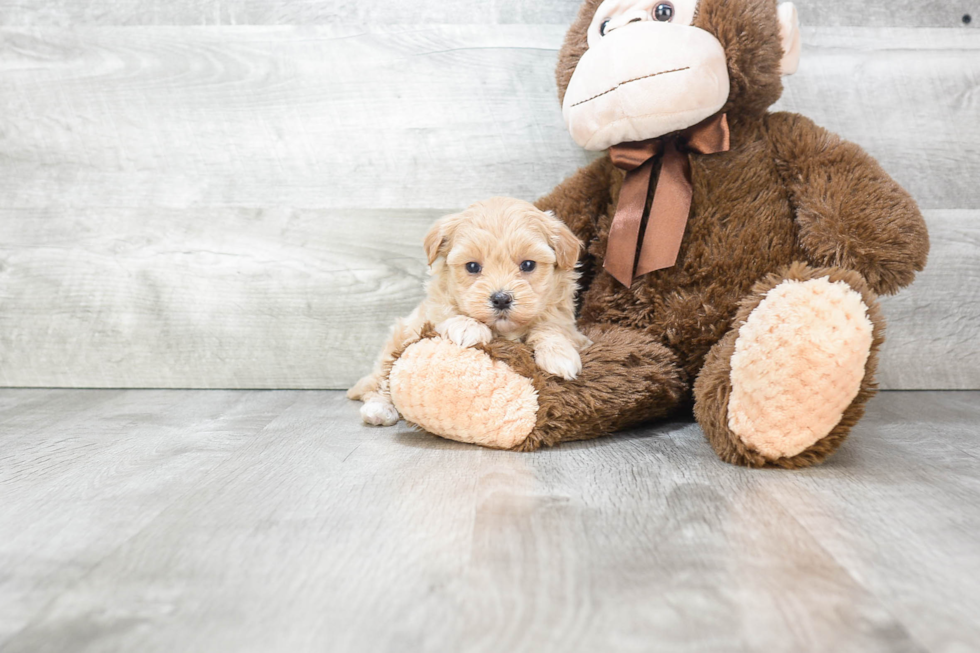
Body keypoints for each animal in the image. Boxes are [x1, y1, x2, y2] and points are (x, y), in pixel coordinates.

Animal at [350, 196, 588, 426]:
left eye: (528, 265)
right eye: (472, 267)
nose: (501, 299)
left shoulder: (568, 325)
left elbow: (551, 328)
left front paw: (559, 354)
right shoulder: (432, 314)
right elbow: (450, 315)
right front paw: (469, 328)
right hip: (397, 340)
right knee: (382, 381)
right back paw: (379, 409)